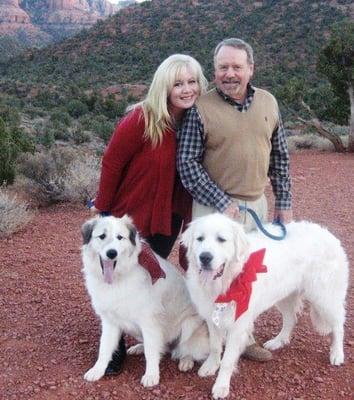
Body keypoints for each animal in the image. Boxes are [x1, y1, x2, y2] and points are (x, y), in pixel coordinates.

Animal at [81, 216, 209, 388]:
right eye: (102, 236)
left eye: (119, 237)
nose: (112, 253)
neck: (119, 277)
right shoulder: (110, 321)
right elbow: (105, 348)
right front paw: (97, 370)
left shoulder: (150, 322)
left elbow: (151, 352)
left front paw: (151, 375)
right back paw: (138, 348)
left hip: (189, 324)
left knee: (186, 348)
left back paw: (185, 361)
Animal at [181, 214, 348, 400]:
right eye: (200, 239)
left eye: (221, 239)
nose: (205, 257)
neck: (229, 280)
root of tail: (328, 234)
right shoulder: (212, 318)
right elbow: (215, 347)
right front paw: (211, 366)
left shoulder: (238, 325)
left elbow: (228, 360)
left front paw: (221, 386)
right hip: (285, 295)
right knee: (291, 319)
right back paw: (278, 342)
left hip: (324, 298)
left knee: (338, 326)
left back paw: (337, 354)